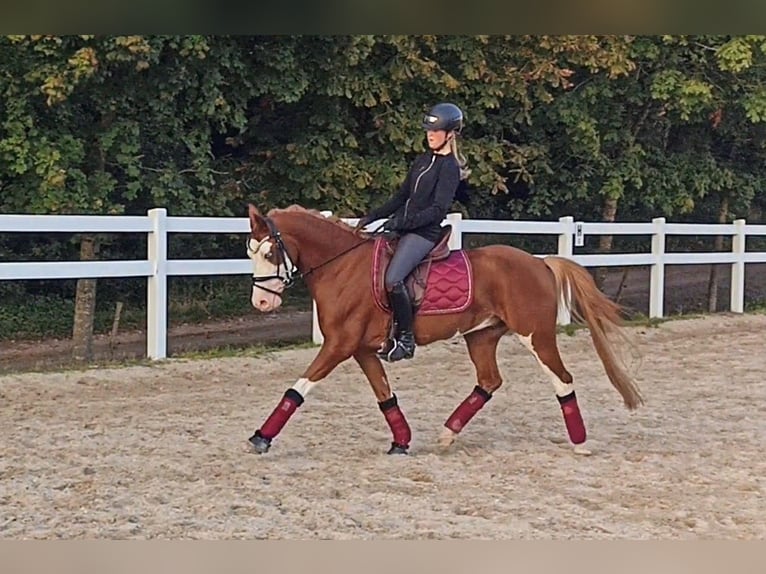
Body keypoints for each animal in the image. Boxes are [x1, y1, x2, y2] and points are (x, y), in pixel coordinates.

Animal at [243, 202, 644, 460]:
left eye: (269, 253)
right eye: (250, 252)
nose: (261, 303)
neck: (342, 266)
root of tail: (540, 263)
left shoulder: (339, 346)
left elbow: (297, 388)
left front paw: (260, 438)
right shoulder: (360, 349)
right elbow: (384, 395)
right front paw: (401, 441)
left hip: (536, 335)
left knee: (562, 380)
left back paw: (580, 443)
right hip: (481, 336)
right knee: (489, 381)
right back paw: (447, 433)